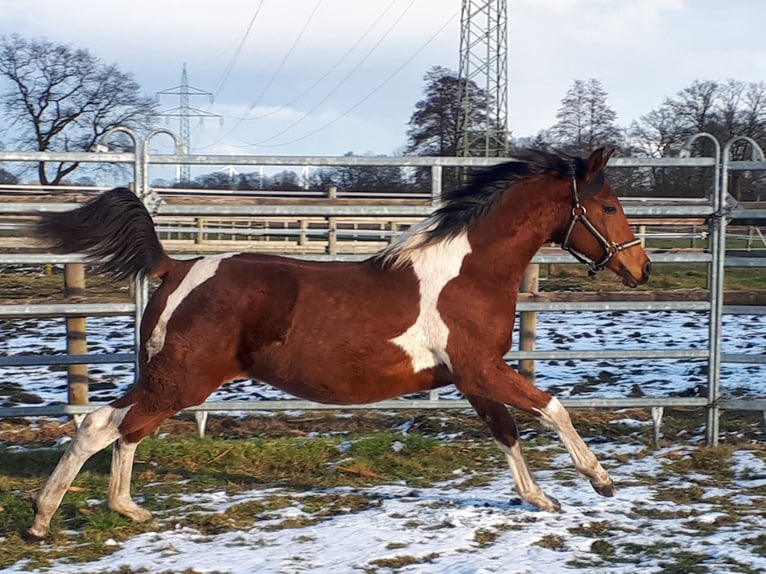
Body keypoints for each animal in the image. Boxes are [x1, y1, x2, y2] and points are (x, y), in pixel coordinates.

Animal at [28, 147, 656, 540]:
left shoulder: (471, 377)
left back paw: (125, 510)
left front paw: (539, 498)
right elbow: (552, 409)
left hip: (167, 378)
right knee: (103, 425)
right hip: (181, 378)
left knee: (124, 427)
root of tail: (176, 266)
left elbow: (506, 431)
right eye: (608, 206)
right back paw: (43, 518)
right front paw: (600, 481)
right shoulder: (482, 369)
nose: (641, 268)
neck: (466, 274)